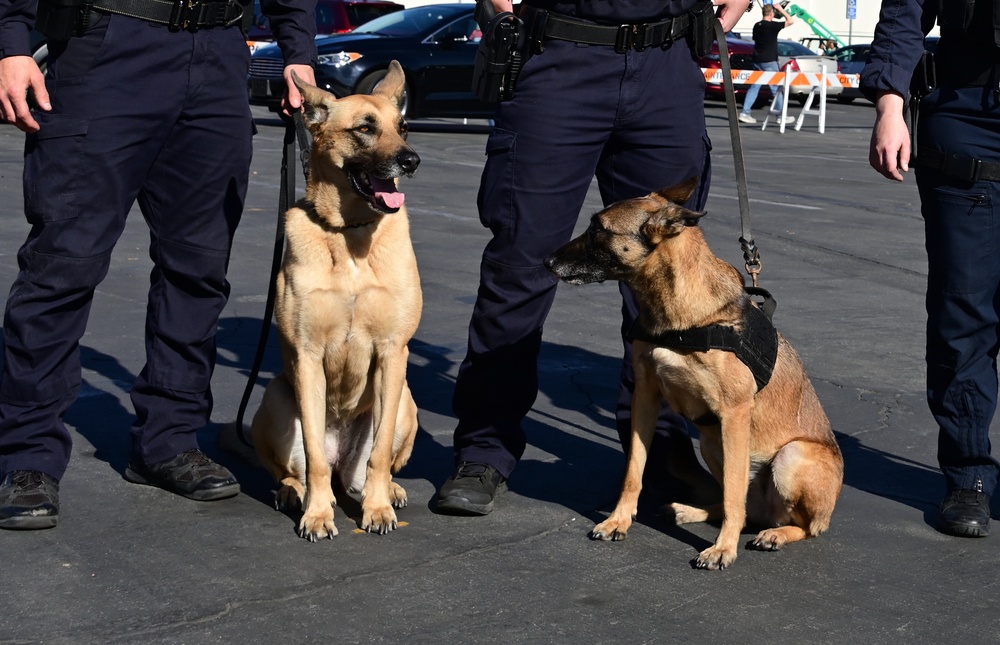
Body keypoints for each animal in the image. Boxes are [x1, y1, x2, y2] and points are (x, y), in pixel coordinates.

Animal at [254, 63, 422, 540]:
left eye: (403, 127)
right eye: (365, 128)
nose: (411, 160)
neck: (350, 234)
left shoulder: (392, 354)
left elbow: (380, 455)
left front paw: (378, 509)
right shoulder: (307, 357)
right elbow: (312, 456)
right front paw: (316, 514)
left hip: (406, 400)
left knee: (365, 471)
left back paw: (384, 492)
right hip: (276, 398)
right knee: (301, 470)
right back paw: (298, 493)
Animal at [548, 179, 844, 568]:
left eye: (599, 229)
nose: (547, 261)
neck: (681, 316)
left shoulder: (734, 414)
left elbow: (733, 494)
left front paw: (723, 548)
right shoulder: (646, 398)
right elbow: (634, 470)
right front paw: (618, 520)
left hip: (788, 456)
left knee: (800, 524)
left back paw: (775, 534)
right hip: (711, 442)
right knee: (745, 507)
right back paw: (690, 511)